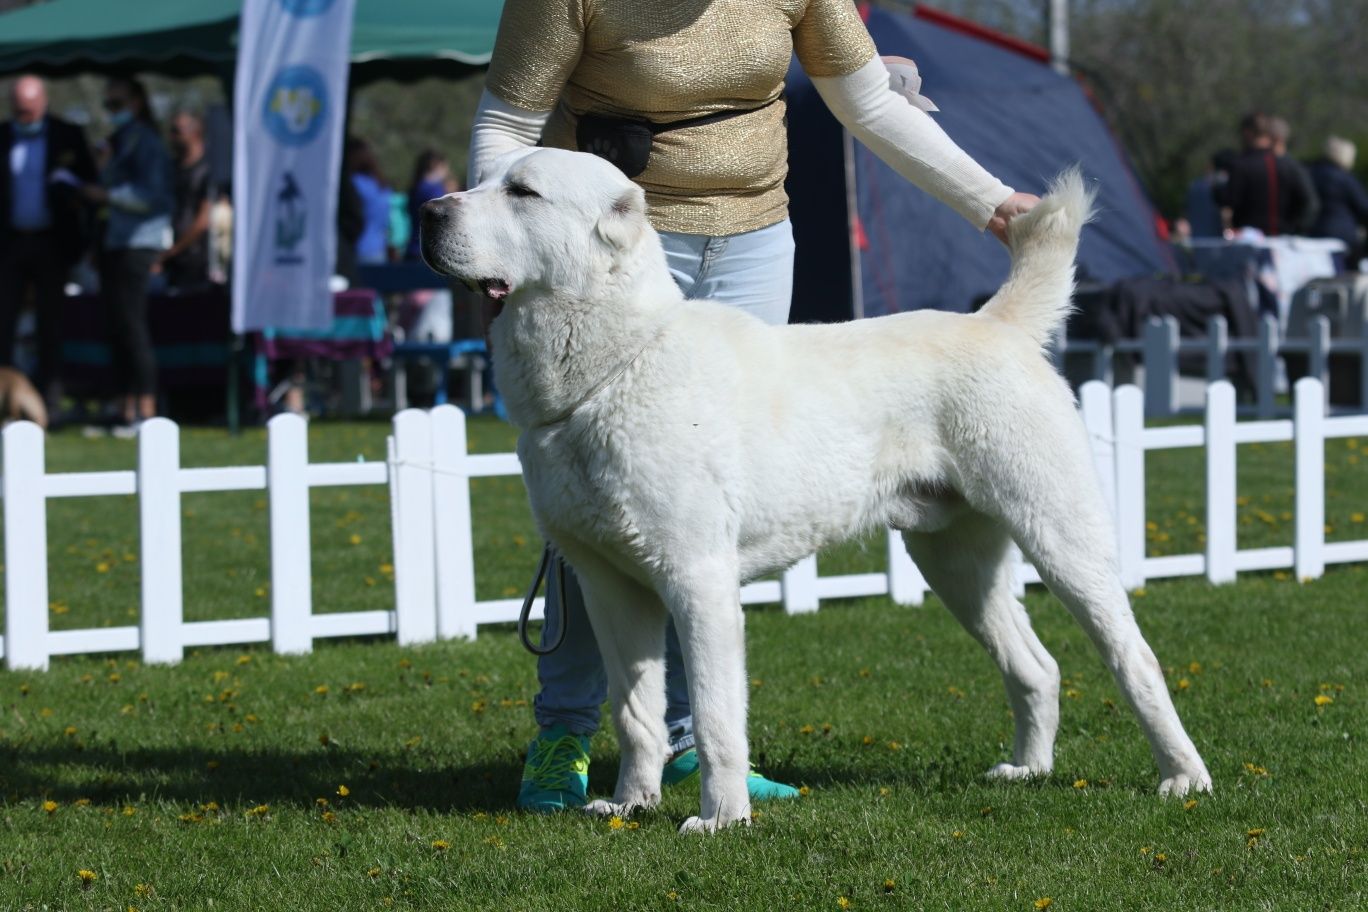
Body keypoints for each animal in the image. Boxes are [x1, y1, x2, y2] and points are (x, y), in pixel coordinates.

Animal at [418, 148, 1209, 836]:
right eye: (484, 179)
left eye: (524, 193)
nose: (428, 213)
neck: (616, 364)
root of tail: (999, 324)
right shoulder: (608, 587)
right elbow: (634, 711)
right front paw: (631, 804)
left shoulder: (696, 582)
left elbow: (714, 714)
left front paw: (721, 818)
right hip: (955, 564)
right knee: (1037, 668)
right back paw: (1029, 770)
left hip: (1061, 538)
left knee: (1134, 659)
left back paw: (1183, 778)